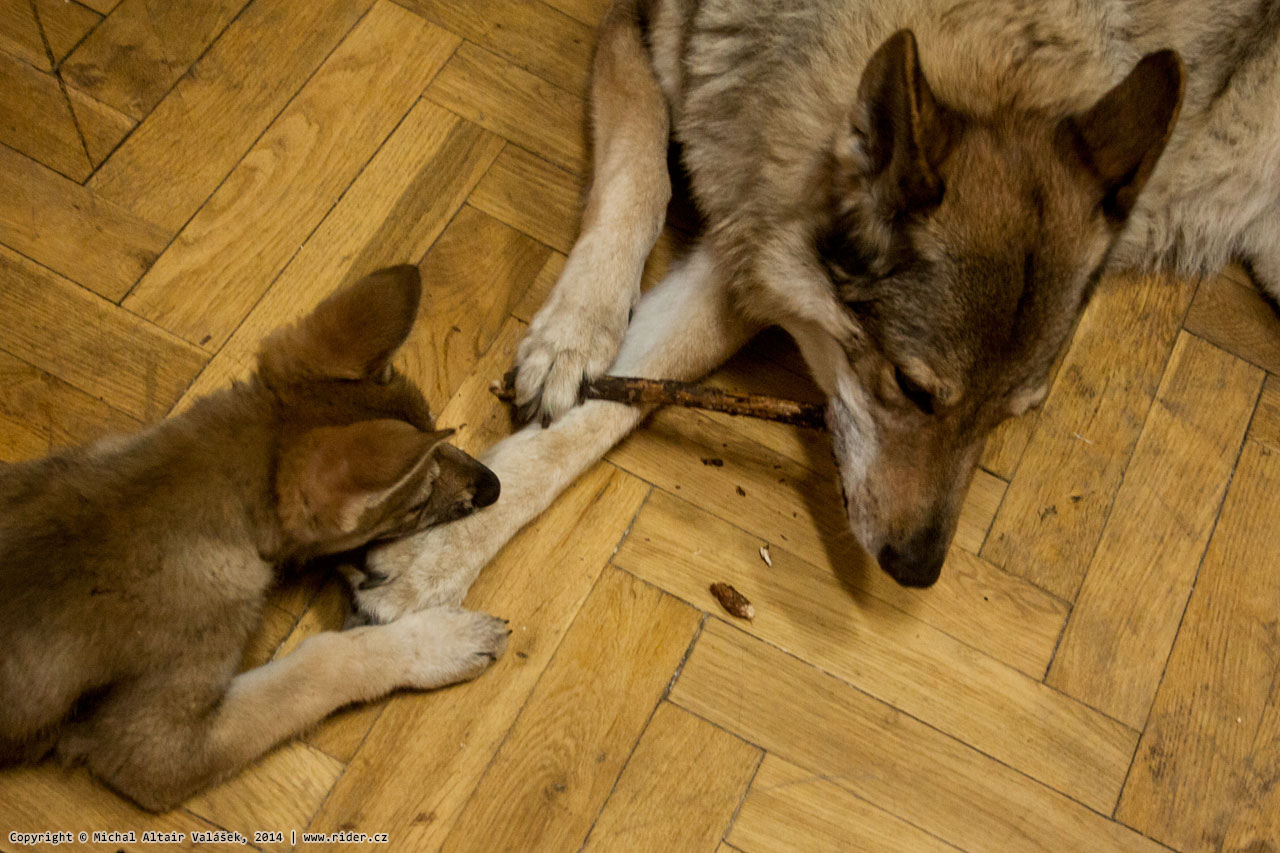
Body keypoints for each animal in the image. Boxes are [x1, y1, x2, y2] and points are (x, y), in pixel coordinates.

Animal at [0, 266, 506, 809]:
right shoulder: (155, 748)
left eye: (434, 427)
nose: (494, 485)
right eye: (416, 501)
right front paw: (440, 642)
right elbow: (323, 663)